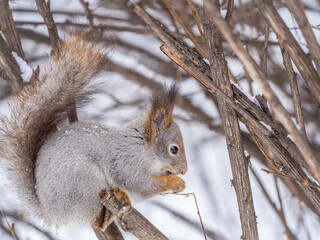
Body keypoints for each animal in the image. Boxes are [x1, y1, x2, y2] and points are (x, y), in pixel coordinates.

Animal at [0, 35, 188, 227]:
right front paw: (174, 182)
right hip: (83, 181)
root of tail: (50, 214)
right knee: (95, 218)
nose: (184, 170)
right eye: (174, 149)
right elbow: (139, 182)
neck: (144, 147)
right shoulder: (128, 160)